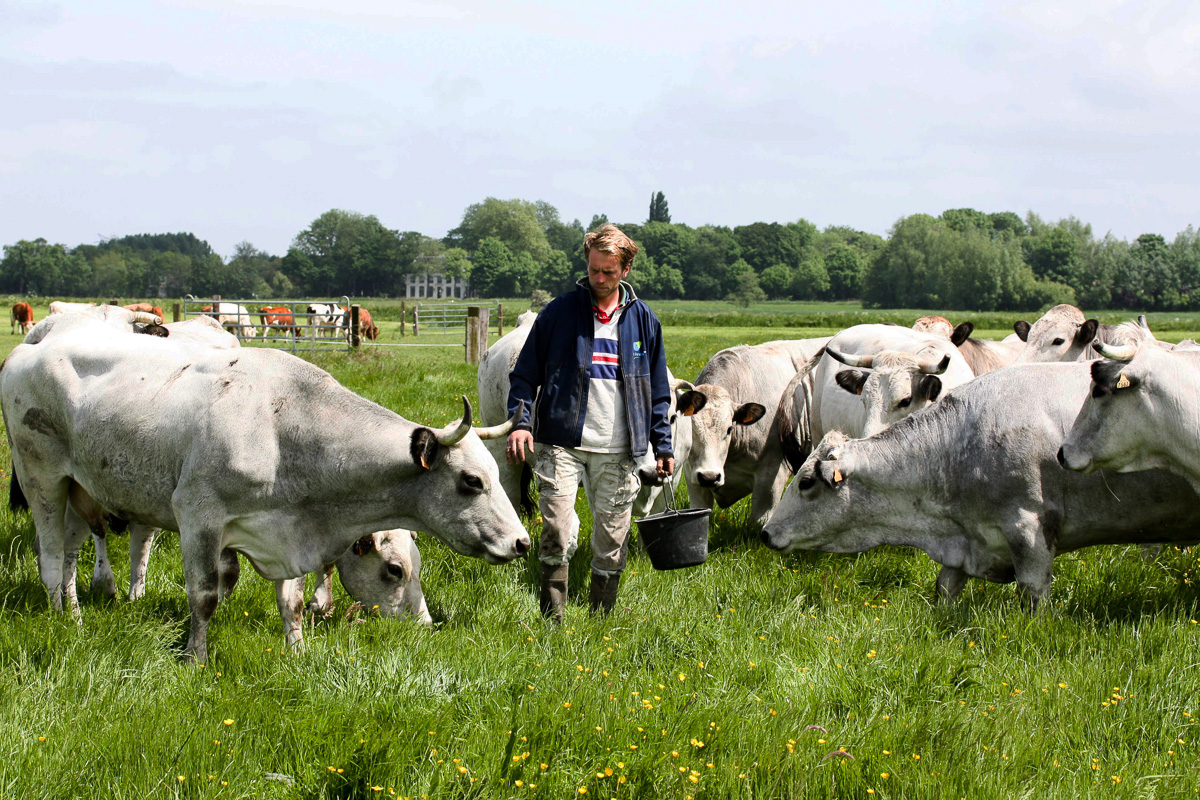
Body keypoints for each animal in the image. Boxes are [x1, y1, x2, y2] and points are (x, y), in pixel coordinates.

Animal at [0, 303, 528, 662]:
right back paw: (66, 626)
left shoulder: (287, 524)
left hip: (78, 487)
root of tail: (32, 346)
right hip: (41, 480)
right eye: (471, 481)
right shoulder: (198, 518)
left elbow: (290, 601)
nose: (521, 542)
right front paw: (195, 658)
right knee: (51, 560)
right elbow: (204, 595)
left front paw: (297, 652)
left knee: (71, 553)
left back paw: (74, 611)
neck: (282, 429)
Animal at [681, 335, 830, 527]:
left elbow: (758, 521)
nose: (709, 477)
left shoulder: (771, 476)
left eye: (729, 429)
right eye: (690, 430)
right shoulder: (693, 476)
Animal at [763, 362, 1200, 606]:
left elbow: (1033, 597)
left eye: (806, 482)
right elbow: (944, 590)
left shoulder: (1029, 532)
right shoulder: (966, 543)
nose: (766, 533)